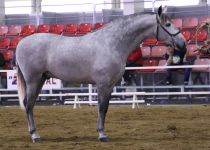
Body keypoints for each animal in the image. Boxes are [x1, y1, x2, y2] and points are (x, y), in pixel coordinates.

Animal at [16, 6, 185, 143]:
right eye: (168, 24)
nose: (183, 43)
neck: (111, 44)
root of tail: (21, 43)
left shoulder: (109, 86)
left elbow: (105, 108)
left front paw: (101, 132)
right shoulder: (103, 84)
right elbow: (102, 108)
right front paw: (102, 134)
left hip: (41, 79)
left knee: (30, 104)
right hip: (33, 80)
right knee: (28, 104)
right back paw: (35, 136)